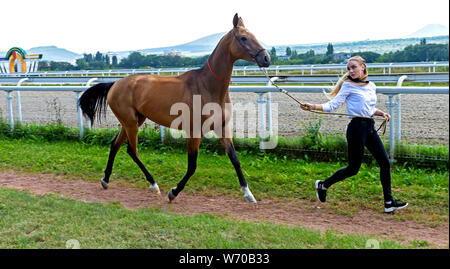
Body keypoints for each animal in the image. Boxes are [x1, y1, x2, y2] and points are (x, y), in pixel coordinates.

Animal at [78, 13, 270, 202]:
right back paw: (153, 184)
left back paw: (106, 179)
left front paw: (248, 194)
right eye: (244, 38)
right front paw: (173, 192)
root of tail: (115, 84)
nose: (266, 58)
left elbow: (235, 159)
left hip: (133, 121)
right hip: (130, 122)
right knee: (132, 150)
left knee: (115, 145)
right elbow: (192, 166)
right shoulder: (194, 132)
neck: (208, 86)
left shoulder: (222, 127)